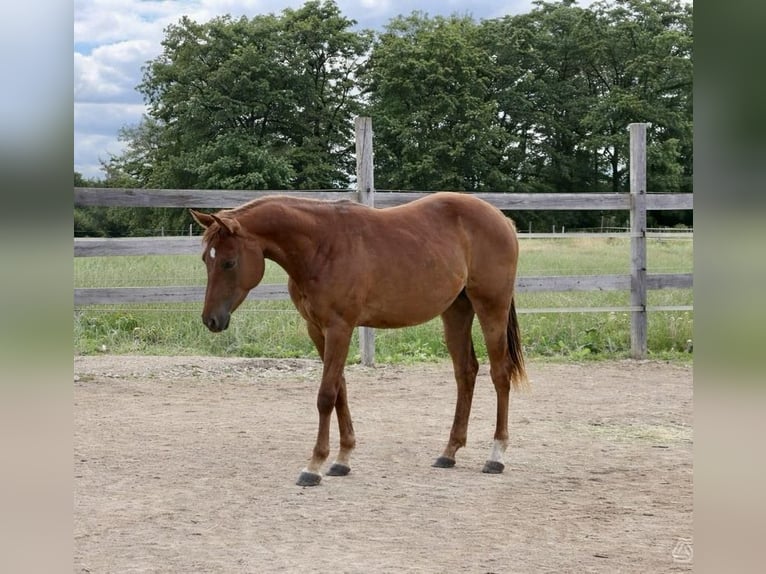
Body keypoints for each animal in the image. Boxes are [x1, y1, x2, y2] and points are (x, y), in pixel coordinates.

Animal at [190, 192, 527, 486]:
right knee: (465, 372)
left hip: (491, 307)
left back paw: (496, 455)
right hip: (456, 310)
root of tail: (502, 219)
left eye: (229, 262)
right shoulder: (317, 330)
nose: (211, 320)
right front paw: (343, 459)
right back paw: (449, 452)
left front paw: (314, 465)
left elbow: (326, 395)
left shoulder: (340, 327)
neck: (321, 246)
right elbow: (340, 389)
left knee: (500, 374)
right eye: (206, 260)